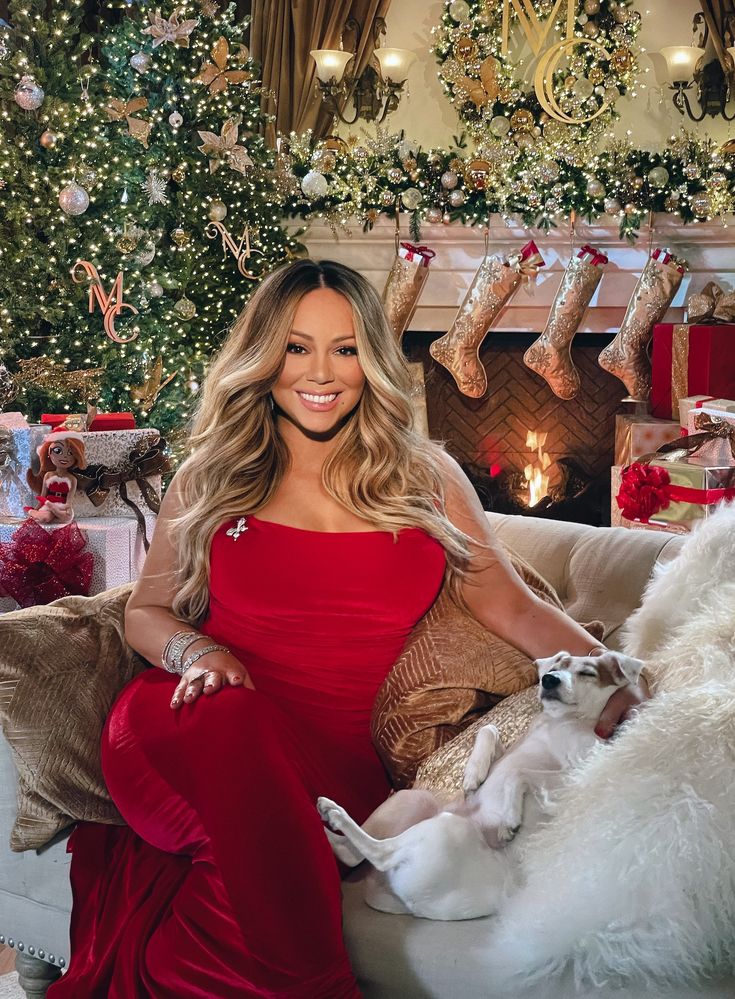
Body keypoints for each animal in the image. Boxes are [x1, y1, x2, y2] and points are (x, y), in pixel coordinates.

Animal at [320, 648, 640, 920]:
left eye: (588, 673)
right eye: (556, 667)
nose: (548, 679)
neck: (561, 722)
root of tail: (405, 906)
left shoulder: (581, 768)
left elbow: (518, 773)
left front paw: (509, 819)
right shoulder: (510, 745)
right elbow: (488, 729)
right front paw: (474, 775)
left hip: (447, 830)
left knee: (380, 853)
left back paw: (335, 813)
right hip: (411, 800)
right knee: (351, 854)